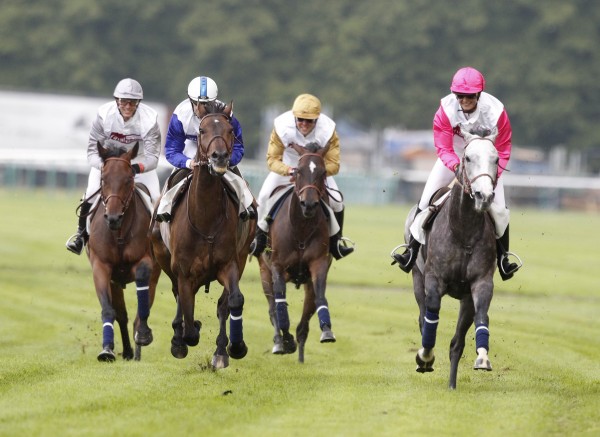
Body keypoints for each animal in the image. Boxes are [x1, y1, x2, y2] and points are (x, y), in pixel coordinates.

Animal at [85, 142, 159, 362]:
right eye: (103, 179)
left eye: (128, 179)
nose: (113, 217)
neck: (118, 232)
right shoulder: (101, 267)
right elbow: (109, 310)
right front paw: (106, 350)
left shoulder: (145, 261)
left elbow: (142, 281)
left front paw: (142, 335)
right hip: (116, 282)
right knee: (123, 315)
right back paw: (126, 351)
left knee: (142, 309)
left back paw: (138, 344)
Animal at [150, 101, 255, 368]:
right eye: (201, 130)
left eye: (230, 130)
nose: (219, 157)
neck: (205, 220)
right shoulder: (184, 271)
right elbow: (188, 322)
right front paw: (184, 336)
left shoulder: (229, 263)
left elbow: (232, 301)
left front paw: (233, 347)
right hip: (163, 256)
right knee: (178, 296)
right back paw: (179, 337)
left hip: (241, 256)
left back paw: (221, 350)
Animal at [256, 142, 336, 362]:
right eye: (298, 171)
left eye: (323, 172)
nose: (308, 204)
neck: (301, 229)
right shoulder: (276, 266)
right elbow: (280, 304)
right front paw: (286, 340)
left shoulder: (319, 264)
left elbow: (319, 296)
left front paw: (326, 330)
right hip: (264, 272)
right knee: (272, 308)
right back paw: (279, 342)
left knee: (304, 320)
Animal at [406, 127, 500, 388]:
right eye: (467, 158)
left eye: (496, 159)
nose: (484, 196)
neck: (463, 230)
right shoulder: (433, 280)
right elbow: (431, 315)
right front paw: (425, 357)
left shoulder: (479, 284)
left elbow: (479, 318)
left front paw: (482, 358)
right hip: (417, 278)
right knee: (422, 317)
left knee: (457, 342)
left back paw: (451, 383)